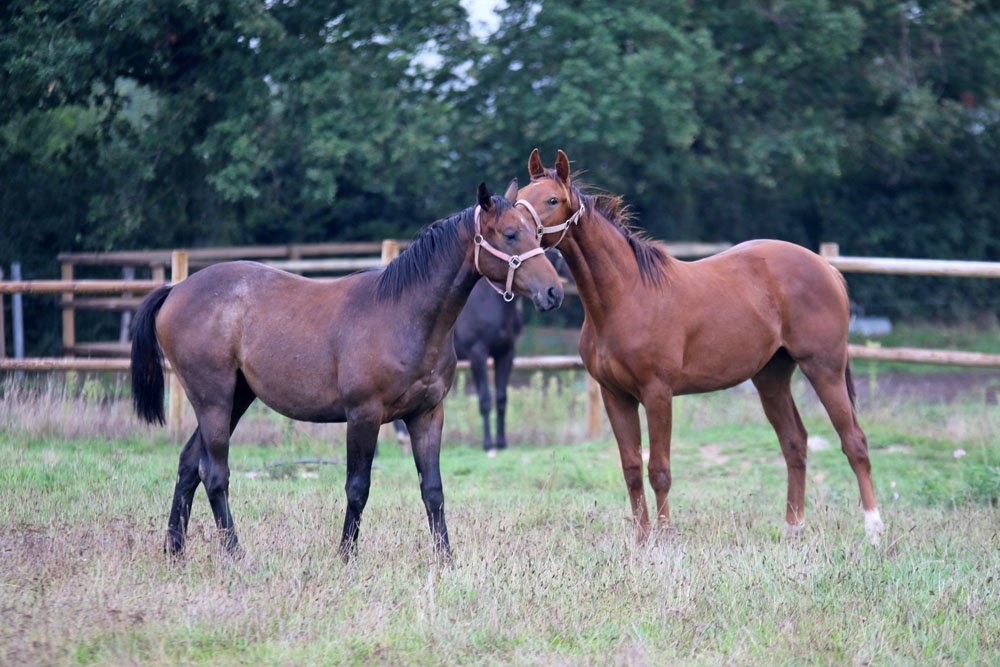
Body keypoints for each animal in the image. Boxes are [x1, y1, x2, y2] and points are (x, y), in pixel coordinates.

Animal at [130, 181, 565, 560]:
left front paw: (446, 559)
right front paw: (345, 556)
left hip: (237, 397)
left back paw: (174, 550)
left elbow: (433, 490)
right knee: (214, 472)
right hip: (214, 399)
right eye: (510, 234)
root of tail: (176, 290)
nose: (554, 292)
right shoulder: (363, 416)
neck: (405, 315)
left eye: (534, 231)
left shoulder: (427, 415)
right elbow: (358, 487)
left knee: (189, 465)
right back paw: (235, 554)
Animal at [515, 149, 883, 544]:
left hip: (824, 368)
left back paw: (873, 530)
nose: (515, 234)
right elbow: (631, 468)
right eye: (520, 194)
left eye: (552, 200)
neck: (626, 295)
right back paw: (793, 529)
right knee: (794, 442)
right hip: (771, 378)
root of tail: (828, 269)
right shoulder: (615, 395)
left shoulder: (657, 393)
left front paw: (664, 538)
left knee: (854, 442)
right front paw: (641, 540)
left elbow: (659, 469)